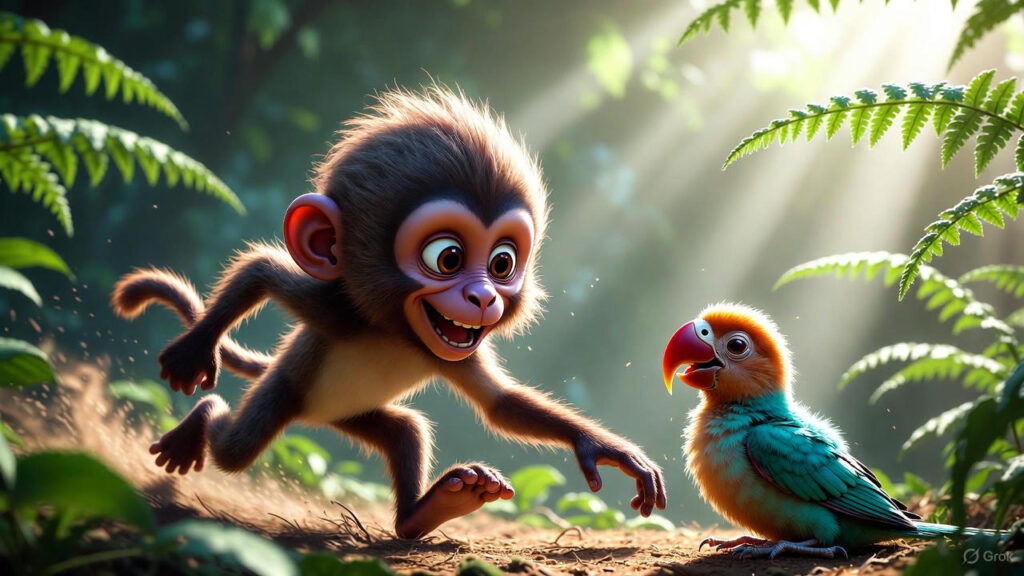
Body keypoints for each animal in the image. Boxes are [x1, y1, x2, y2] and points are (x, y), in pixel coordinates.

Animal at [112, 85, 667, 539]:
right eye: (447, 257)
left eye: (502, 263)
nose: (484, 298)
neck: (397, 333)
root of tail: (315, 415)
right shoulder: (338, 311)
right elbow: (262, 269)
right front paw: (193, 350)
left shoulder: (453, 354)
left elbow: (501, 405)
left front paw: (602, 448)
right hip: (284, 391)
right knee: (235, 447)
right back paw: (198, 423)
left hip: (355, 417)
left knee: (405, 431)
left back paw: (425, 513)